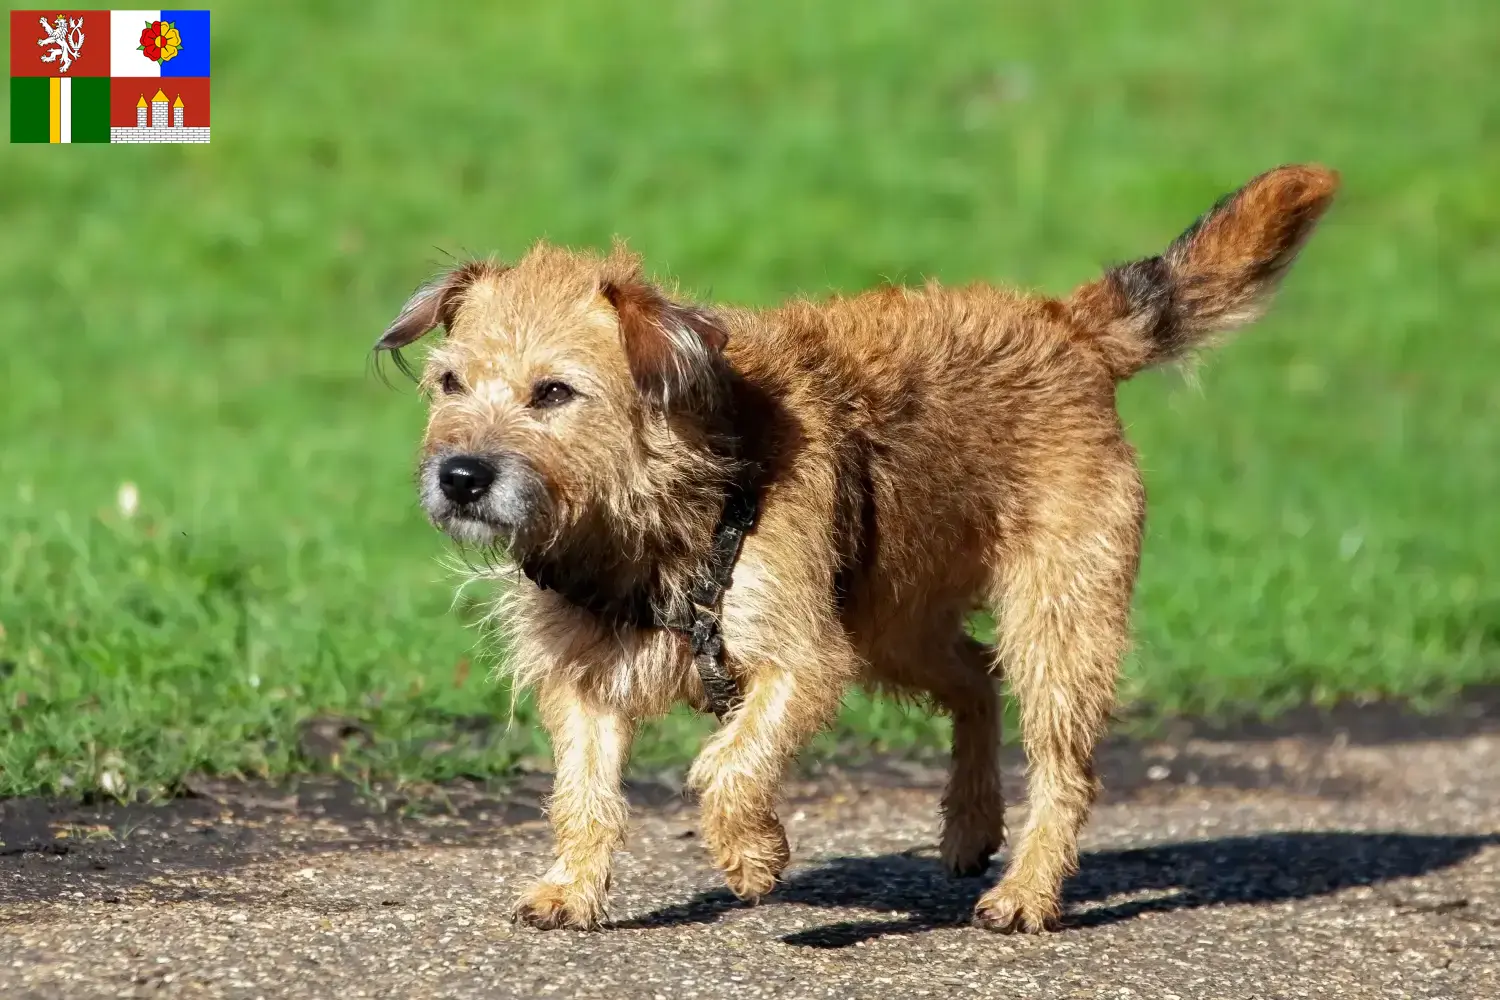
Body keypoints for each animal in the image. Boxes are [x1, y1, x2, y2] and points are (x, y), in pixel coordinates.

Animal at [381, 166, 1344, 941]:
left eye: (554, 393)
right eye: (450, 382)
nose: (461, 476)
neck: (650, 525)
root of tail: (1066, 325)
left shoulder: (802, 658)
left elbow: (727, 762)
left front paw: (752, 855)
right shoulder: (583, 675)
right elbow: (582, 791)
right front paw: (571, 890)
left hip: (1056, 621)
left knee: (1063, 765)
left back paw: (1026, 893)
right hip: (892, 620)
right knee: (975, 675)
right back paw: (970, 825)